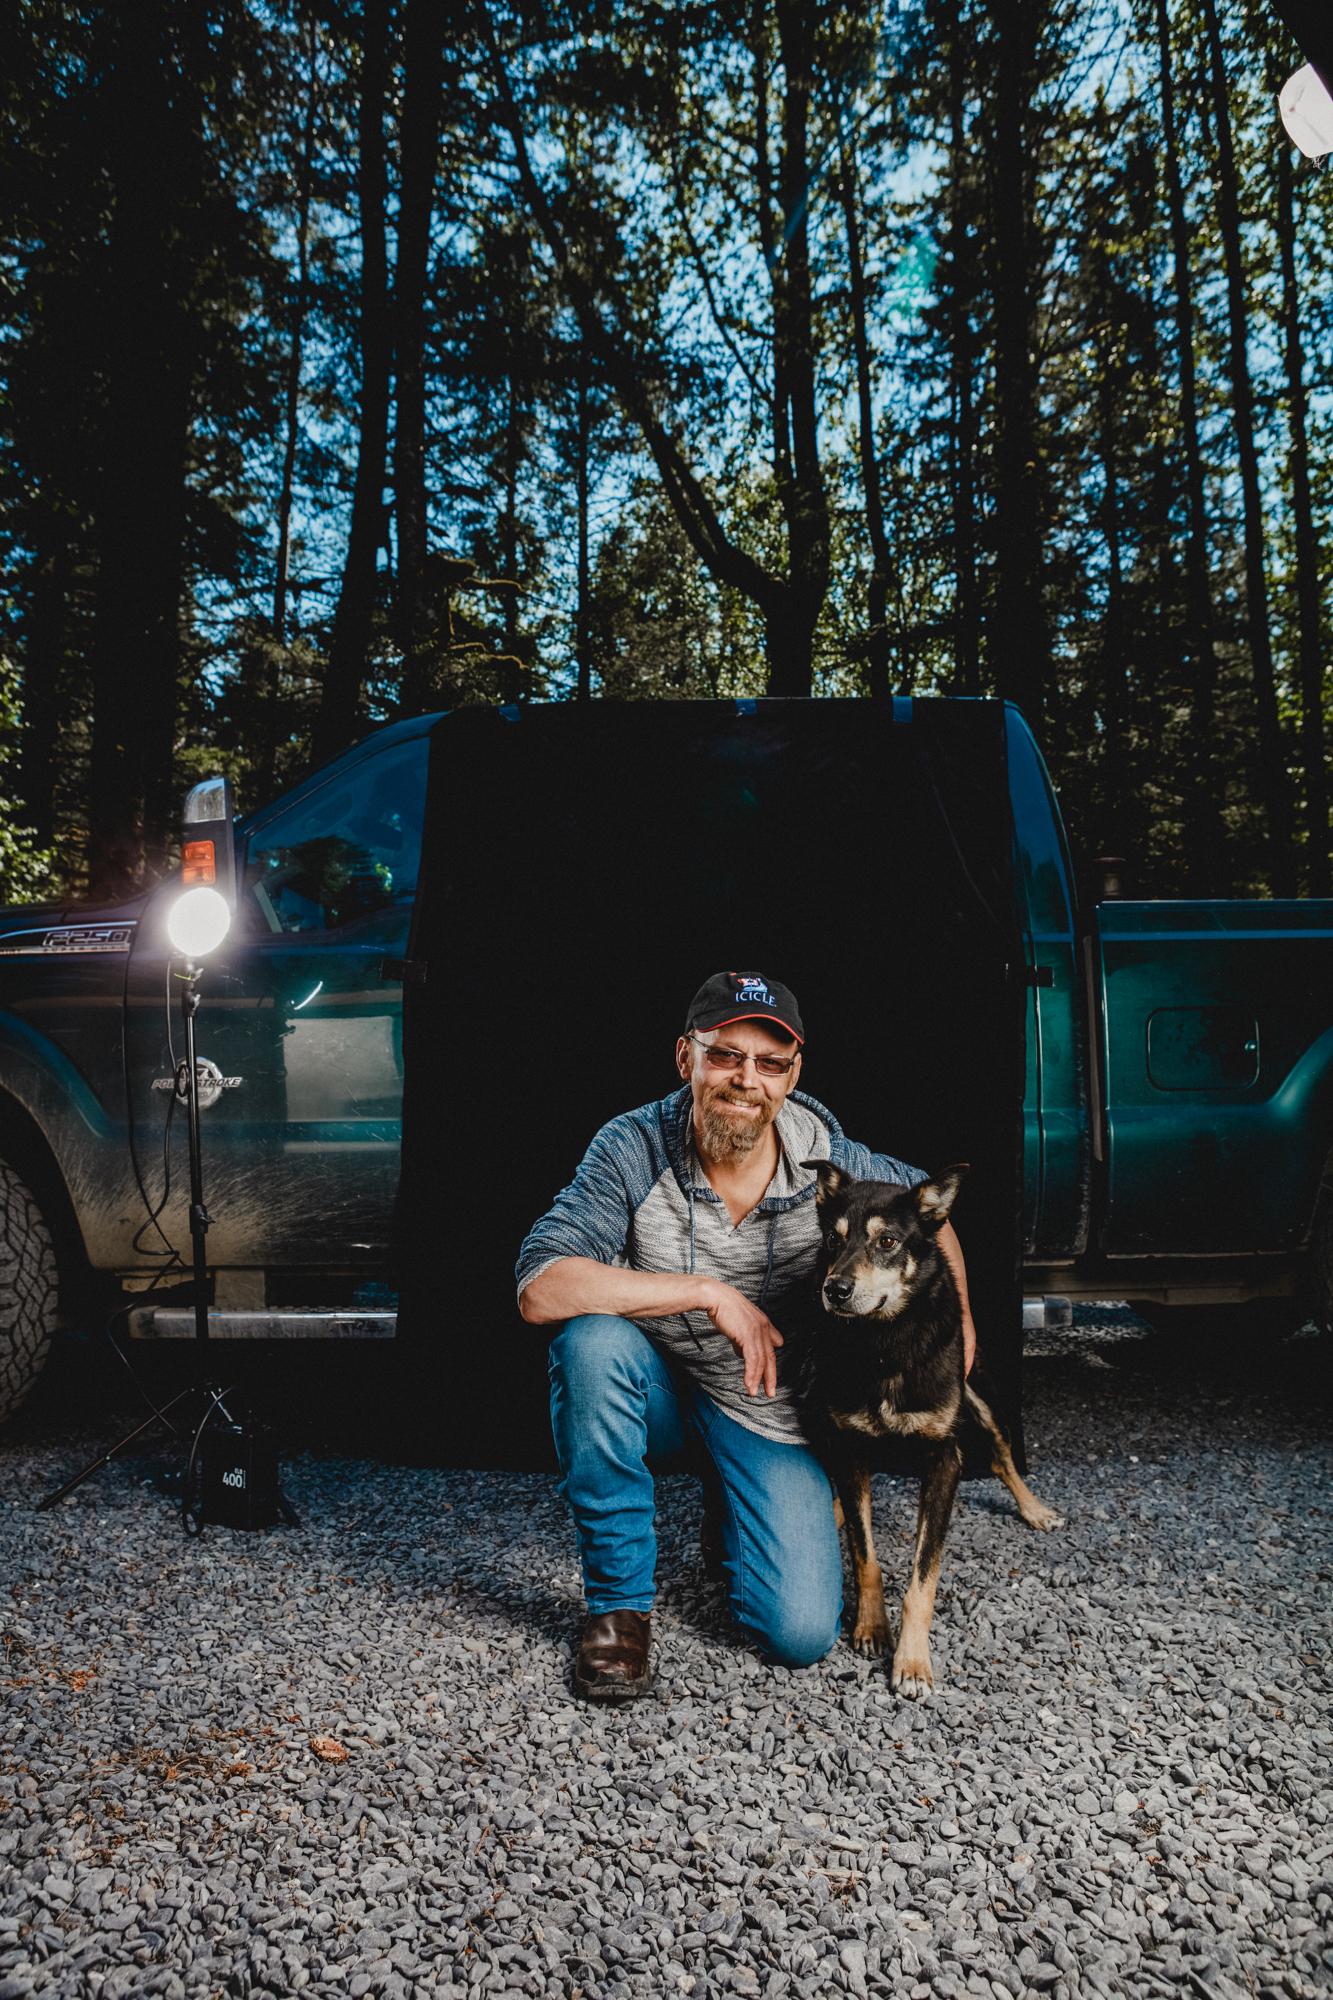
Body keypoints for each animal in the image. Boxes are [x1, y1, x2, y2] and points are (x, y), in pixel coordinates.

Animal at [788, 1168, 1056, 1696]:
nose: (835, 1289)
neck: (883, 1343)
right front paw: (871, 1627)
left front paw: (912, 1662)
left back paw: (1034, 1508)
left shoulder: (943, 1460)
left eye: (887, 1241)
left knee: (1002, 1457)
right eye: (833, 1239)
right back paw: (836, 1511)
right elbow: (865, 1555)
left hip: (983, 1399)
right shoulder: (851, 1446)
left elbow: (922, 1578)